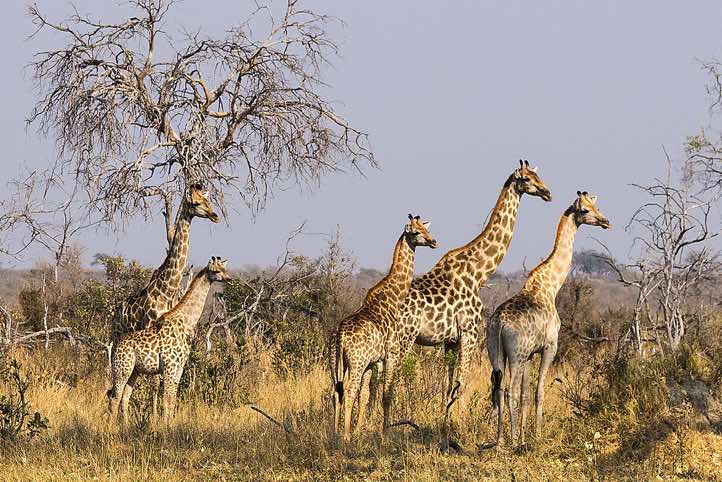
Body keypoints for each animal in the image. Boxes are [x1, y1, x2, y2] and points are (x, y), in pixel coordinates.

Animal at [108, 257, 231, 423]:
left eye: (225, 269)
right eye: (216, 271)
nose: (229, 279)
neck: (186, 322)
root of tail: (114, 346)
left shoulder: (179, 368)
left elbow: (172, 400)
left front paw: (170, 424)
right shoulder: (170, 367)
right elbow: (166, 400)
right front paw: (165, 427)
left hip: (134, 371)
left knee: (124, 397)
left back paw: (125, 426)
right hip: (122, 369)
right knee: (114, 398)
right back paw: (112, 427)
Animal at [110, 184, 218, 415]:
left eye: (208, 201)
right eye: (197, 203)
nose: (215, 215)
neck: (167, 290)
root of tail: (116, 312)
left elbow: (158, 383)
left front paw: (155, 416)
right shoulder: (154, 331)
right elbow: (155, 383)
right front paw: (153, 418)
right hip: (118, 338)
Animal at [333, 214, 438, 441]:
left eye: (427, 229)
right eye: (416, 232)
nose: (434, 242)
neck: (392, 298)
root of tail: (342, 335)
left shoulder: (373, 361)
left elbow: (367, 395)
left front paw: (361, 430)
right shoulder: (392, 354)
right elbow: (387, 394)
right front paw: (384, 432)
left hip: (340, 362)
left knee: (337, 391)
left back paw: (335, 432)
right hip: (356, 362)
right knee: (350, 390)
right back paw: (345, 436)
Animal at [380, 160, 552, 434]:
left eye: (538, 175)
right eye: (526, 179)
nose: (547, 193)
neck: (478, 272)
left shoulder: (450, 340)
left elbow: (448, 385)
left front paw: (444, 423)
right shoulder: (470, 333)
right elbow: (462, 382)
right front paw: (458, 427)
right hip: (403, 339)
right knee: (389, 382)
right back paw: (385, 428)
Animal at [486, 191, 610, 447]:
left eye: (596, 206)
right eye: (585, 210)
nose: (605, 221)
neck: (550, 287)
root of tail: (498, 323)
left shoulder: (531, 354)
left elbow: (526, 393)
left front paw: (525, 434)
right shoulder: (549, 347)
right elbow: (538, 391)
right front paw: (537, 435)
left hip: (496, 351)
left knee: (499, 388)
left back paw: (501, 439)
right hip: (515, 354)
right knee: (508, 390)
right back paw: (512, 440)